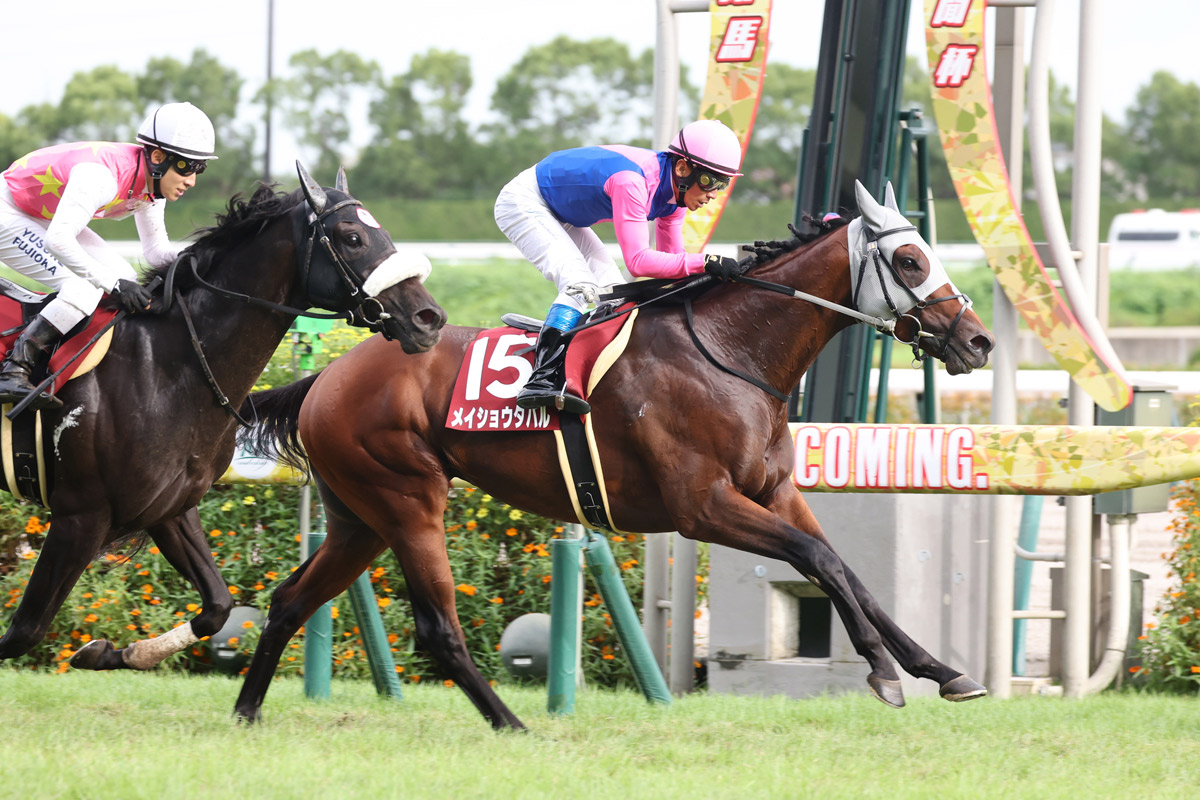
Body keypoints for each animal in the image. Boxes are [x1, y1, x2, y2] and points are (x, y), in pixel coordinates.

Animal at [0, 163, 446, 672]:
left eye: (384, 233)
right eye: (352, 237)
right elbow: (23, 632)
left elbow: (218, 606)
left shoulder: (169, 508)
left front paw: (113, 651)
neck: (167, 365)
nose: (429, 318)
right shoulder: (80, 515)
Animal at [237, 181, 995, 729]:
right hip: (407, 500)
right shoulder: (702, 506)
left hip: (359, 517)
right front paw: (884, 674)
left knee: (290, 599)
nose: (979, 341)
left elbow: (847, 571)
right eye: (910, 260)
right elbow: (821, 561)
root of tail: (326, 377)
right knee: (435, 630)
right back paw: (511, 723)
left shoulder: (775, 492)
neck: (734, 353)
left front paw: (942, 671)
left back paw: (247, 711)